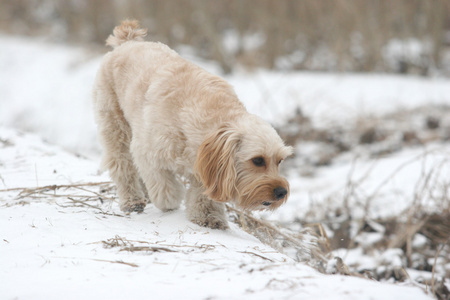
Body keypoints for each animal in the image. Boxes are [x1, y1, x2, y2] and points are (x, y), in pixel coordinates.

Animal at [93, 19, 294, 229]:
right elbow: (163, 185)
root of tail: (128, 41)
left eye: (280, 161)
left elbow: (202, 194)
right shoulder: (147, 151)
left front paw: (208, 216)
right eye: (258, 160)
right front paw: (170, 201)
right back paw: (133, 200)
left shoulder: (207, 169)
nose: (282, 192)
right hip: (116, 128)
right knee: (122, 165)